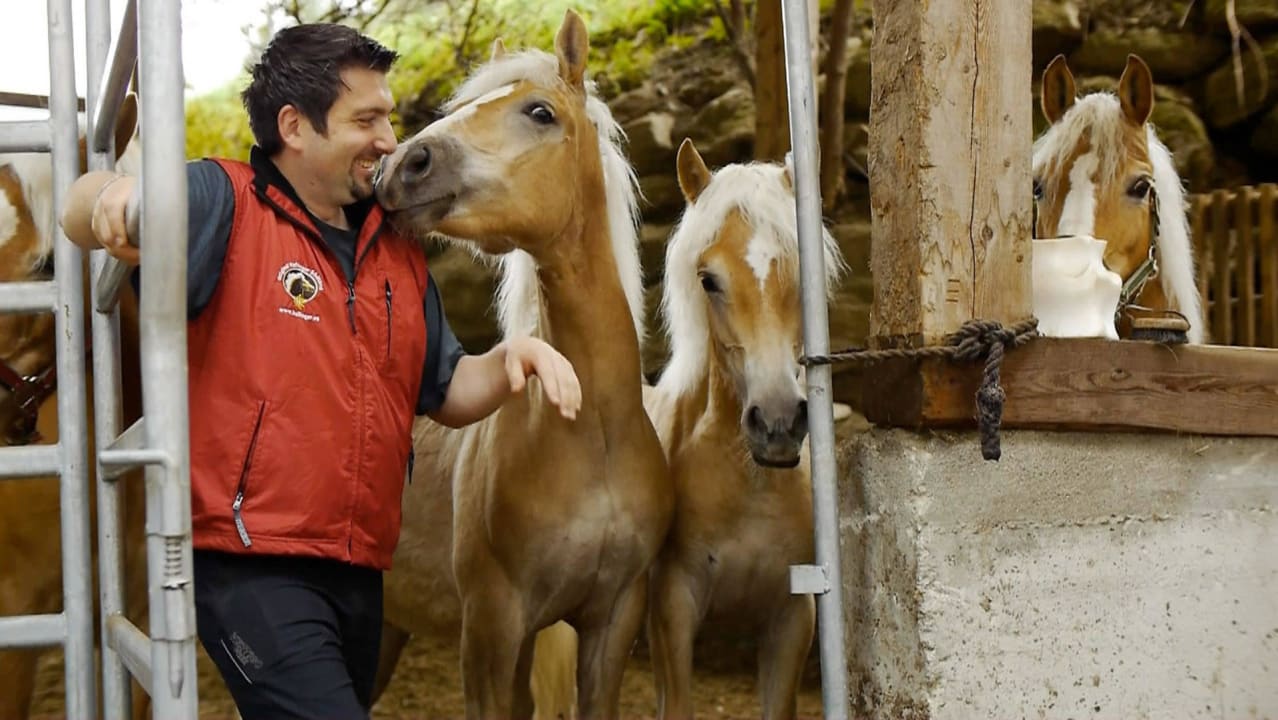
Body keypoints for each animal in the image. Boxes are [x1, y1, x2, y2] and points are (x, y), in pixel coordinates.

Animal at [638, 139, 845, 720]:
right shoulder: (673, 610)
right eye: (709, 280)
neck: (748, 488)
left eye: (803, 274)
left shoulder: (791, 618)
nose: (777, 422)